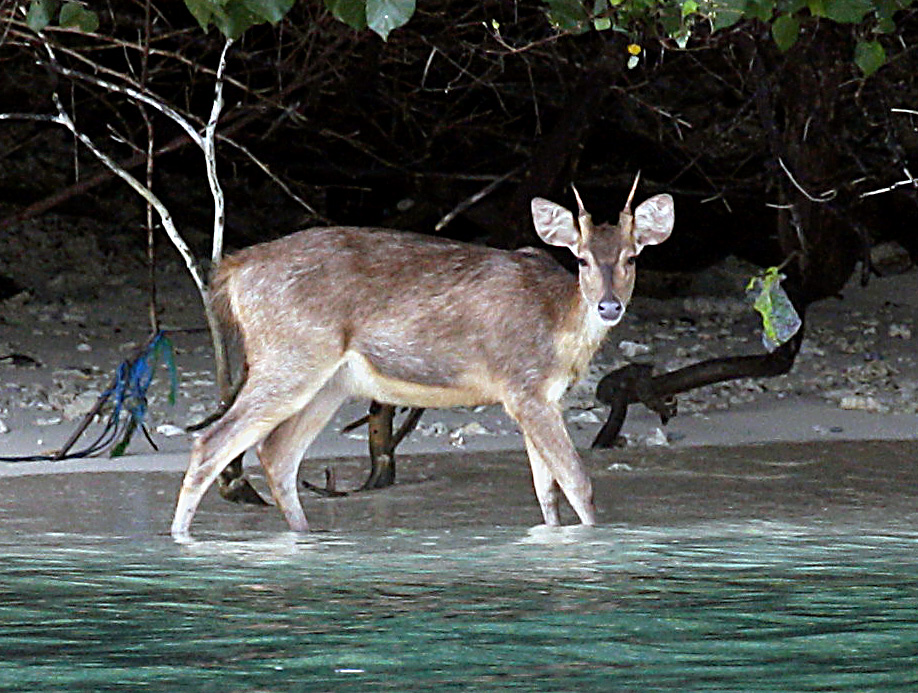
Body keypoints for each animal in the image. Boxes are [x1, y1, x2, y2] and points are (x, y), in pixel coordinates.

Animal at [171, 177, 676, 536]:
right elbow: (577, 483)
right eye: (582, 259)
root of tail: (234, 271)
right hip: (289, 357)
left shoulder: (544, 396)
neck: (558, 323)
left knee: (276, 453)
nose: (609, 306)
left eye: (631, 258)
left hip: (330, 381)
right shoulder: (522, 386)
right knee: (212, 442)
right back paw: (181, 539)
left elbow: (546, 491)